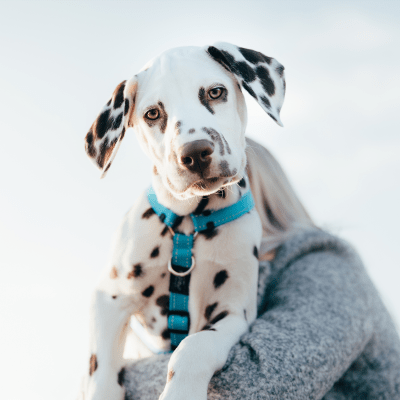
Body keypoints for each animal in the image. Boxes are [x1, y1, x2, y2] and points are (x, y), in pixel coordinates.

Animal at [83, 42, 286, 398]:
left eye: (215, 92)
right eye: (152, 114)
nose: (194, 153)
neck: (189, 224)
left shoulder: (233, 312)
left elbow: (194, 347)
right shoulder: (109, 297)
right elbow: (102, 370)